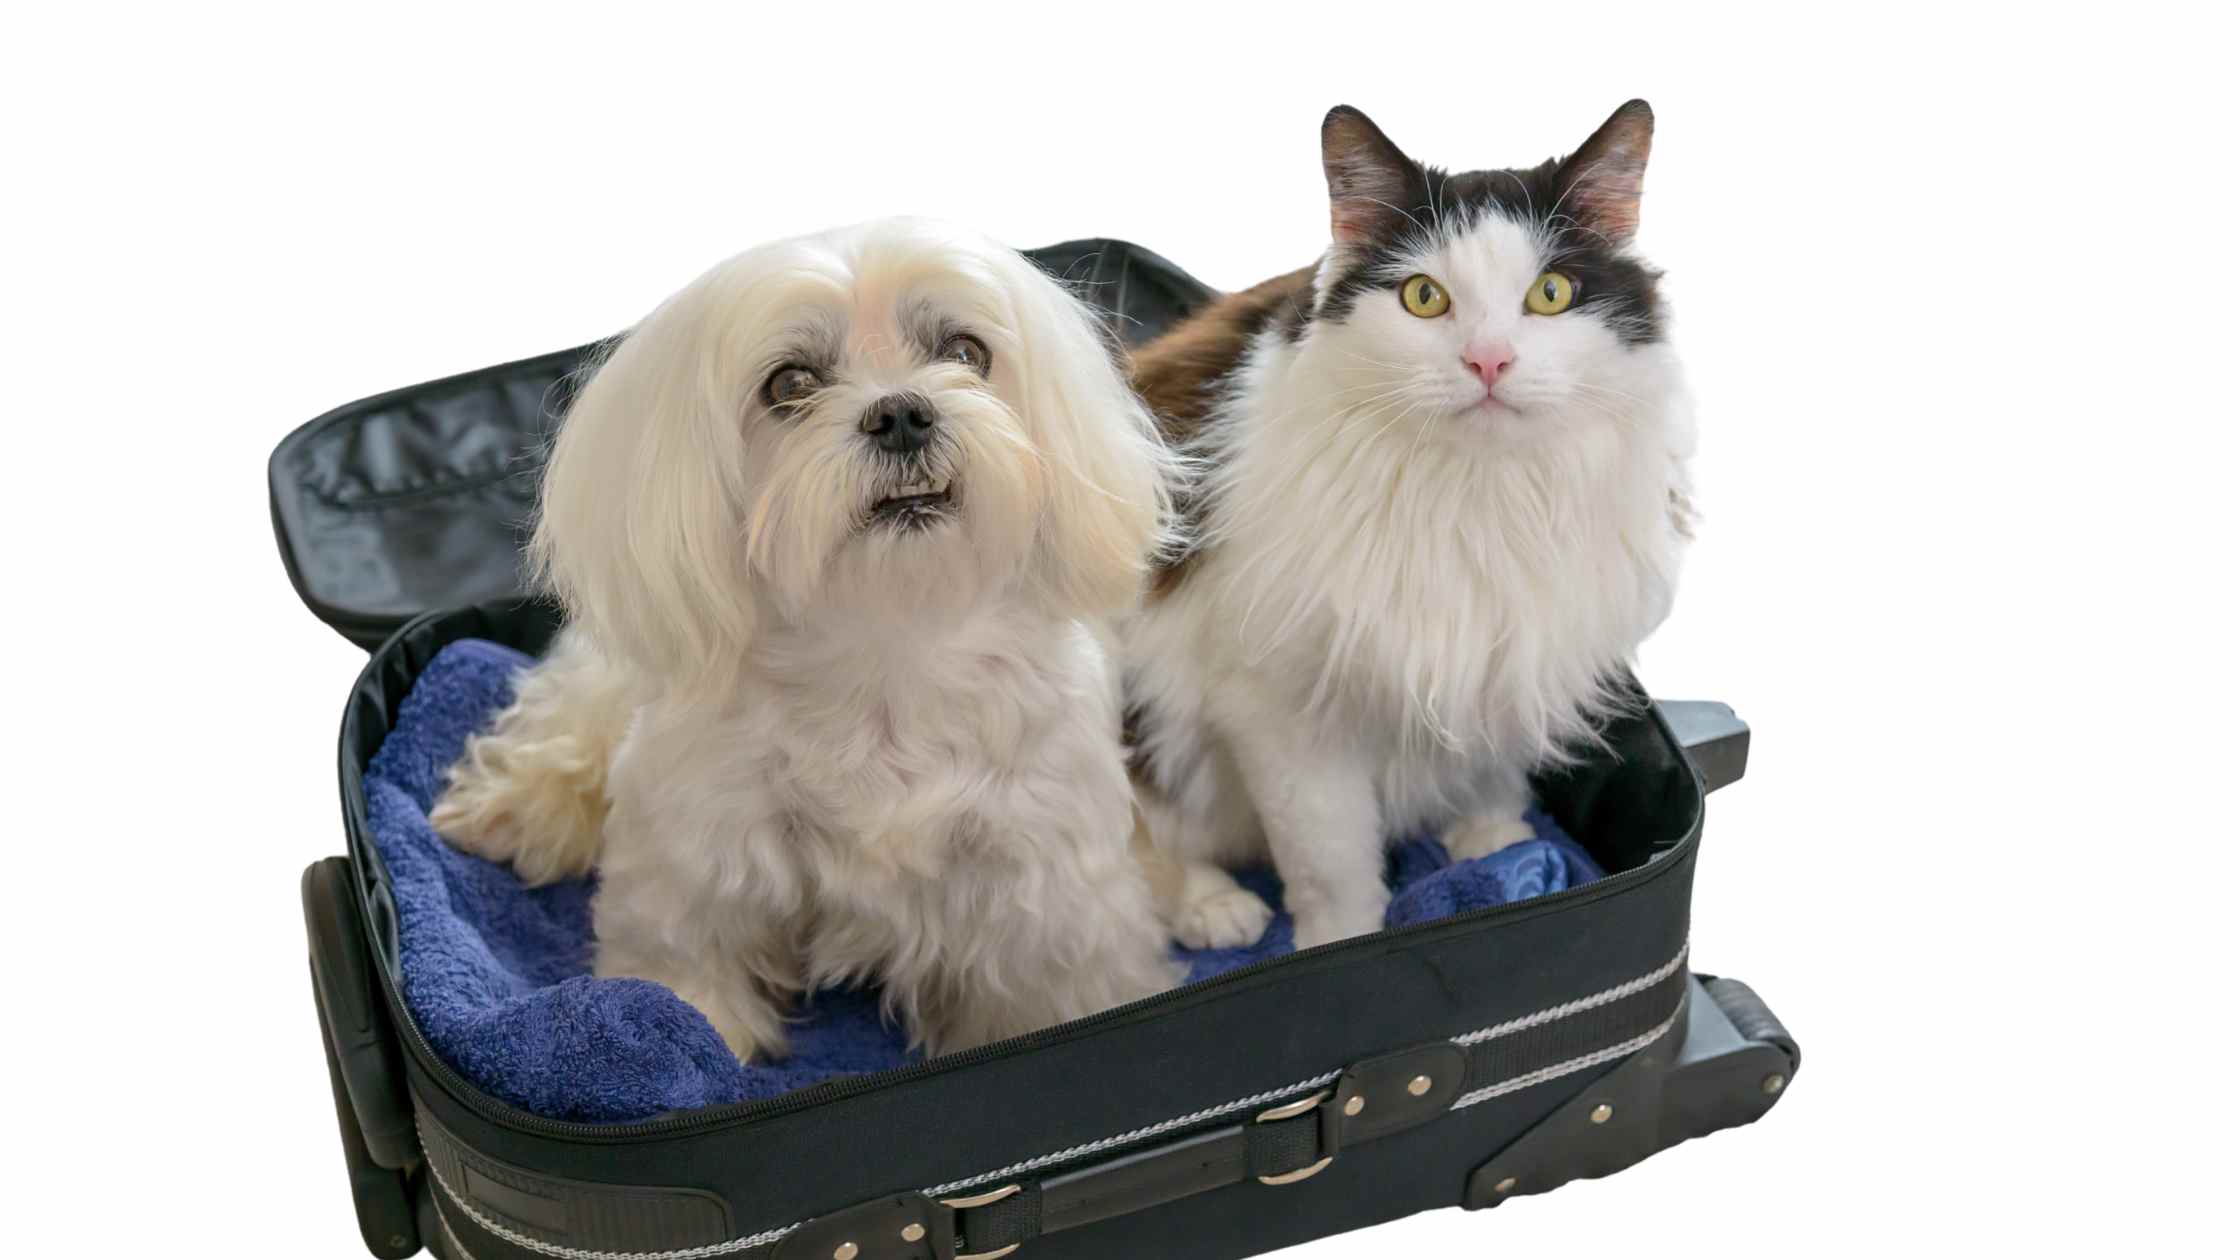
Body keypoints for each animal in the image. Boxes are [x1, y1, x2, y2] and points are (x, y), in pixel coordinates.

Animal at [432, 218, 1183, 1060]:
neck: (887, 641)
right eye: (789, 384)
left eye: (966, 352)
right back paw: (515, 810)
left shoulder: (1040, 880)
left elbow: (1049, 991)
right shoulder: (698, 857)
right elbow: (688, 978)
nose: (902, 413)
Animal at [1123, 101, 1696, 951]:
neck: (1479, 494)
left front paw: (1494, 849)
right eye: (1425, 298)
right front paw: (1340, 947)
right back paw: (1214, 908)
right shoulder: (1283, 714)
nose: (1489, 361)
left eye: (1551, 293)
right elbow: (1331, 860)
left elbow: (1493, 771)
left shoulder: (1516, 650)